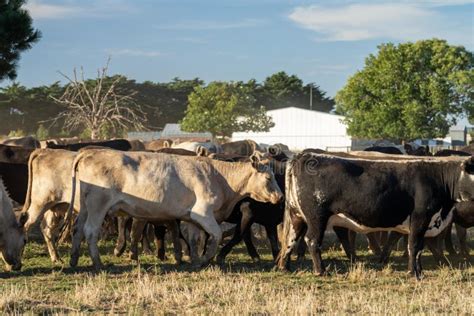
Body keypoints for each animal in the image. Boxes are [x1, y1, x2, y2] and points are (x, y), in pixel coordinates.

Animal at [66, 149, 282, 268]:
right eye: (268, 177)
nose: (280, 197)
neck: (219, 177)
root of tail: (89, 153)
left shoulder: (191, 218)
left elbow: (194, 239)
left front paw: (194, 259)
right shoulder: (203, 214)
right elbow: (216, 235)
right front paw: (206, 258)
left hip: (84, 207)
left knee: (78, 229)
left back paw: (74, 259)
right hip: (98, 206)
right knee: (90, 231)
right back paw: (97, 262)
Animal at [276, 153, 474, 278]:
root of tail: (303, 156)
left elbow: (418, 247)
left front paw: (418, 271)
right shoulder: (420, 218)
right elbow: (414, 245)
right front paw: (415, 273)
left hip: (297, 216)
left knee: (291, 239)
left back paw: (284, 267)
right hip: (317, 217)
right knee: (312, 240)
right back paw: (321, 271)